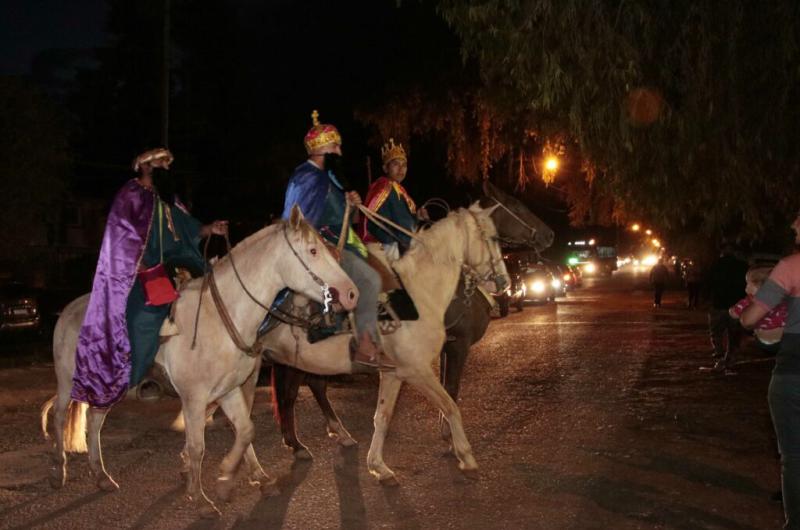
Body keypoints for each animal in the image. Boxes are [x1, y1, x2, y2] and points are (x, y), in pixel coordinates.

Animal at [39, 205, 358, 512]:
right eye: (313, 250)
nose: (351, 294)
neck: (222, 316)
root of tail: (68, 310)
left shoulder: (229, 389)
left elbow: (245, 430)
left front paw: (230, 479)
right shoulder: (194, 397)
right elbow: (197, 446)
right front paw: (200, 497)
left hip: (111, 385)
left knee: (94, 420)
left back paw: (101, 476)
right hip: (68, 380)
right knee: (60, 415)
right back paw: (58, 472)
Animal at [266, 182, 552, 458]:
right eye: (516, 204)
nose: (549, 235)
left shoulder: (441, 348)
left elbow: (445, 390)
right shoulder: (457, 345)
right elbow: (451, 390)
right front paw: (452, 441)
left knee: (312, 385)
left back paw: (334, 435)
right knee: (291, 393)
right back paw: (297, 445)